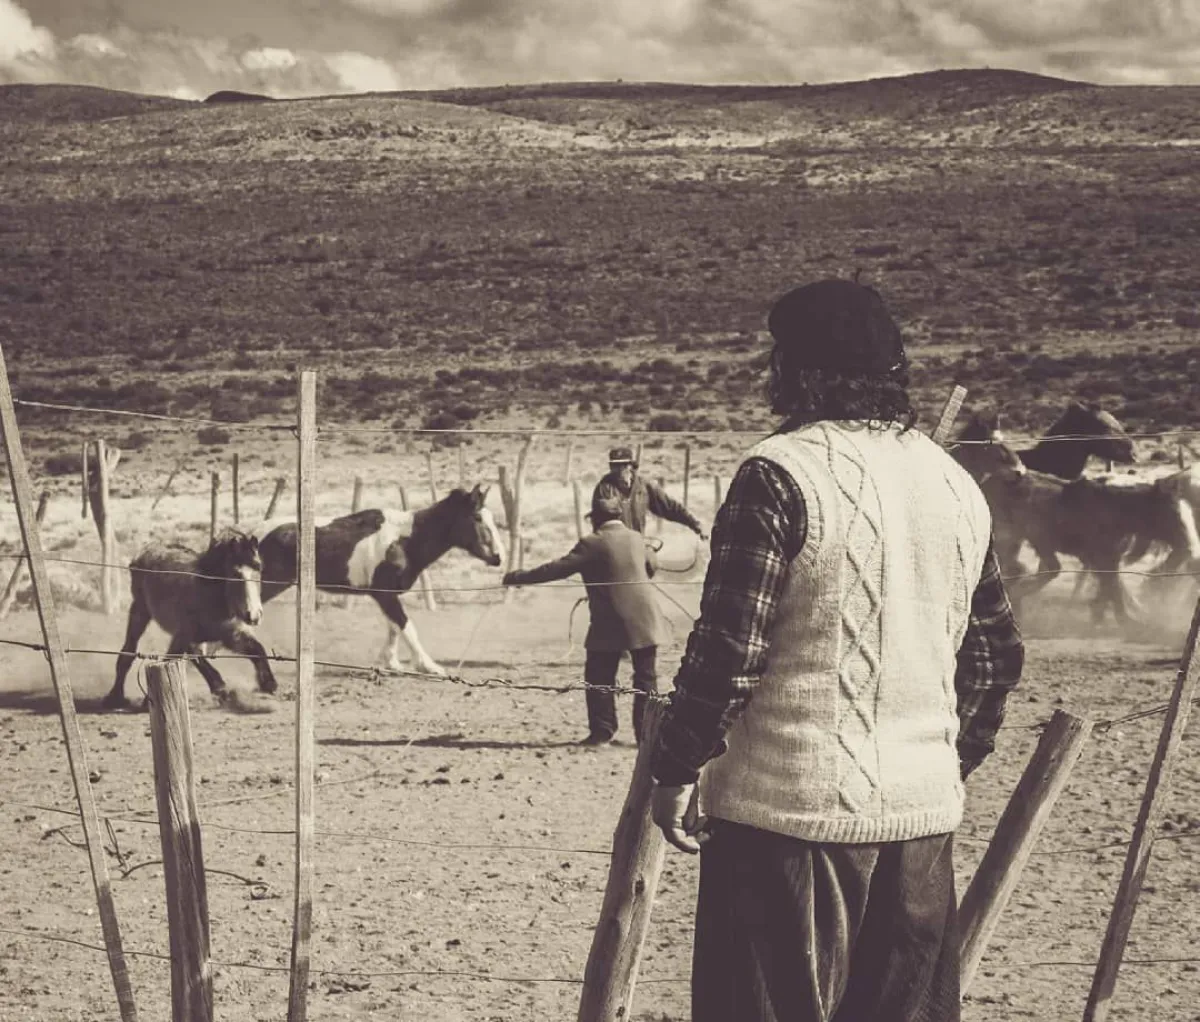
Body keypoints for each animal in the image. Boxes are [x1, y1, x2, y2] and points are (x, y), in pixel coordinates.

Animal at [103, 527, 274, 711]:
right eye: (235, 574)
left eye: (259, 568)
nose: (254, 615)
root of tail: (148, 548)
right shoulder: (183, 635)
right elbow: (172, 658)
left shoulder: (231, 635)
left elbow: (256, 649)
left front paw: (268, 685)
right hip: (140, 611)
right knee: (128, 650)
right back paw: (114, 697)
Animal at [255, 484, 505, 676]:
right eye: (477, 517)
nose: (499, 557)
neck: (405, 541)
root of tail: (255, 533)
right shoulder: (384, 594)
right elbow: (406, 626)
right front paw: (428, 666)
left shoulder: (387, 595)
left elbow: (394, 627)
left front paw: (391, 663)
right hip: (267, 586)